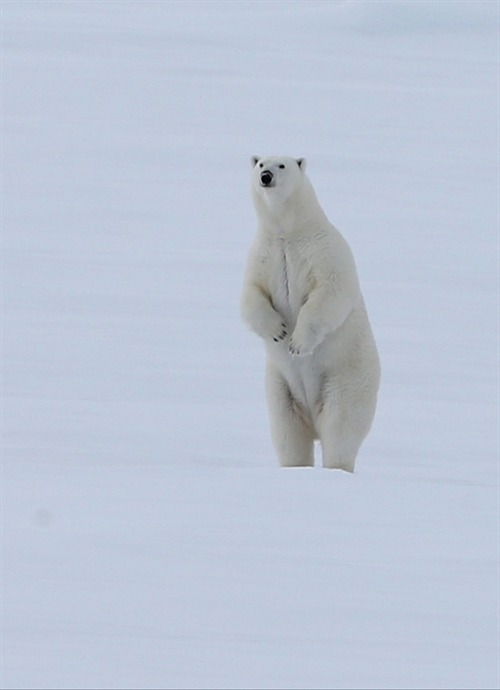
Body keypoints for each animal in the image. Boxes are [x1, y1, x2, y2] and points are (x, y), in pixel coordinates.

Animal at [241, 154, 378, 470]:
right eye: (261, 163)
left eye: (282, 165)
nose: (265, 176)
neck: (288, 232)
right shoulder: (263, 254)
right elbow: (251, 294)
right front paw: (278, 330)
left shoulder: (323, 251)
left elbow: (329, 292)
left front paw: (296, 343)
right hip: (280, 389)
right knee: (288, 435)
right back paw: (295, 467)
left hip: (346, 381)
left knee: (340, 429)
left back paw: (336, 467)